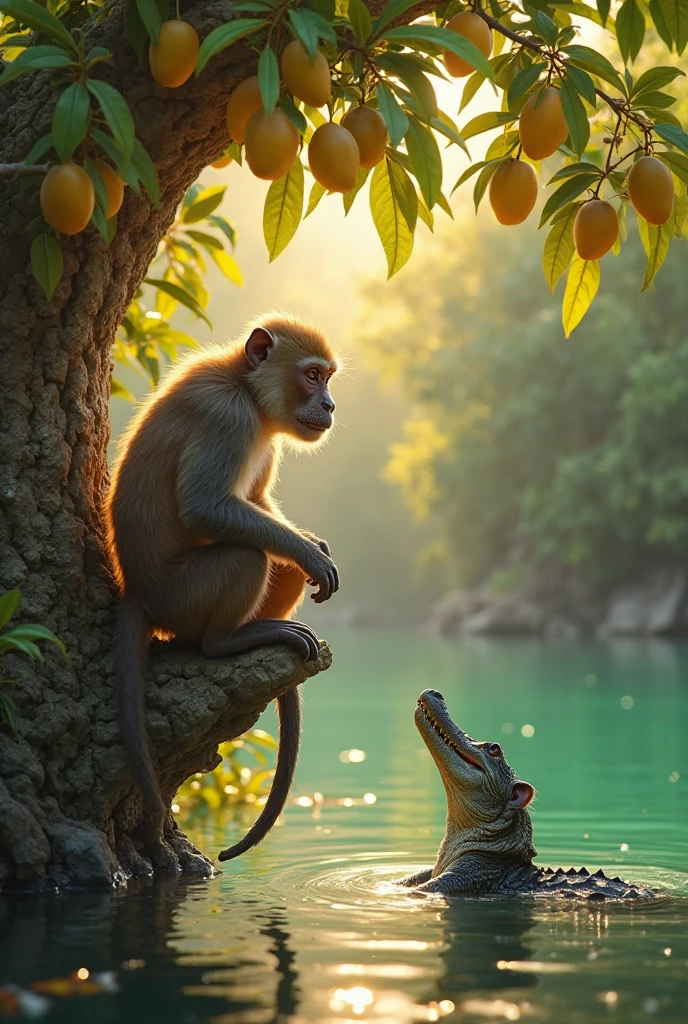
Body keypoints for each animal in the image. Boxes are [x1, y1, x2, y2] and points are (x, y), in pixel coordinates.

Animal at [104, 314, 339, 864]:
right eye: (312, 376)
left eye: (327, 378)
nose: (330, 405)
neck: (248, 391)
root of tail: (137, 590)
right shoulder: (226, 417)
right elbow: (206, 507)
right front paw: (313, 551)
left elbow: (253, 502)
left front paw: (314, 543)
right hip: (181, 598)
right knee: (246, 555)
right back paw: (227, 641)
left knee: (272, 555)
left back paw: (267, 626)